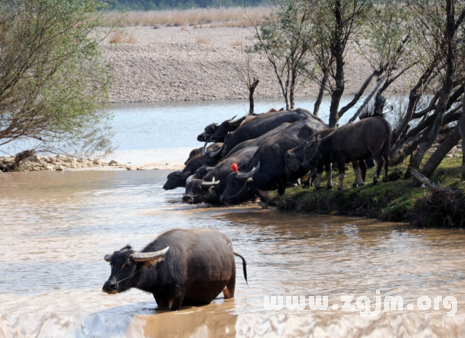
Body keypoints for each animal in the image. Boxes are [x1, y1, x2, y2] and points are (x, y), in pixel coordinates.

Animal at [101, 228, 246, 310]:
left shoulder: (177, 297)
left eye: (127, 264)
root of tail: (229, 247)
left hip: (230, 285)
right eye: (112, 264)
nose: (109, 286)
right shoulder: (159, 299)